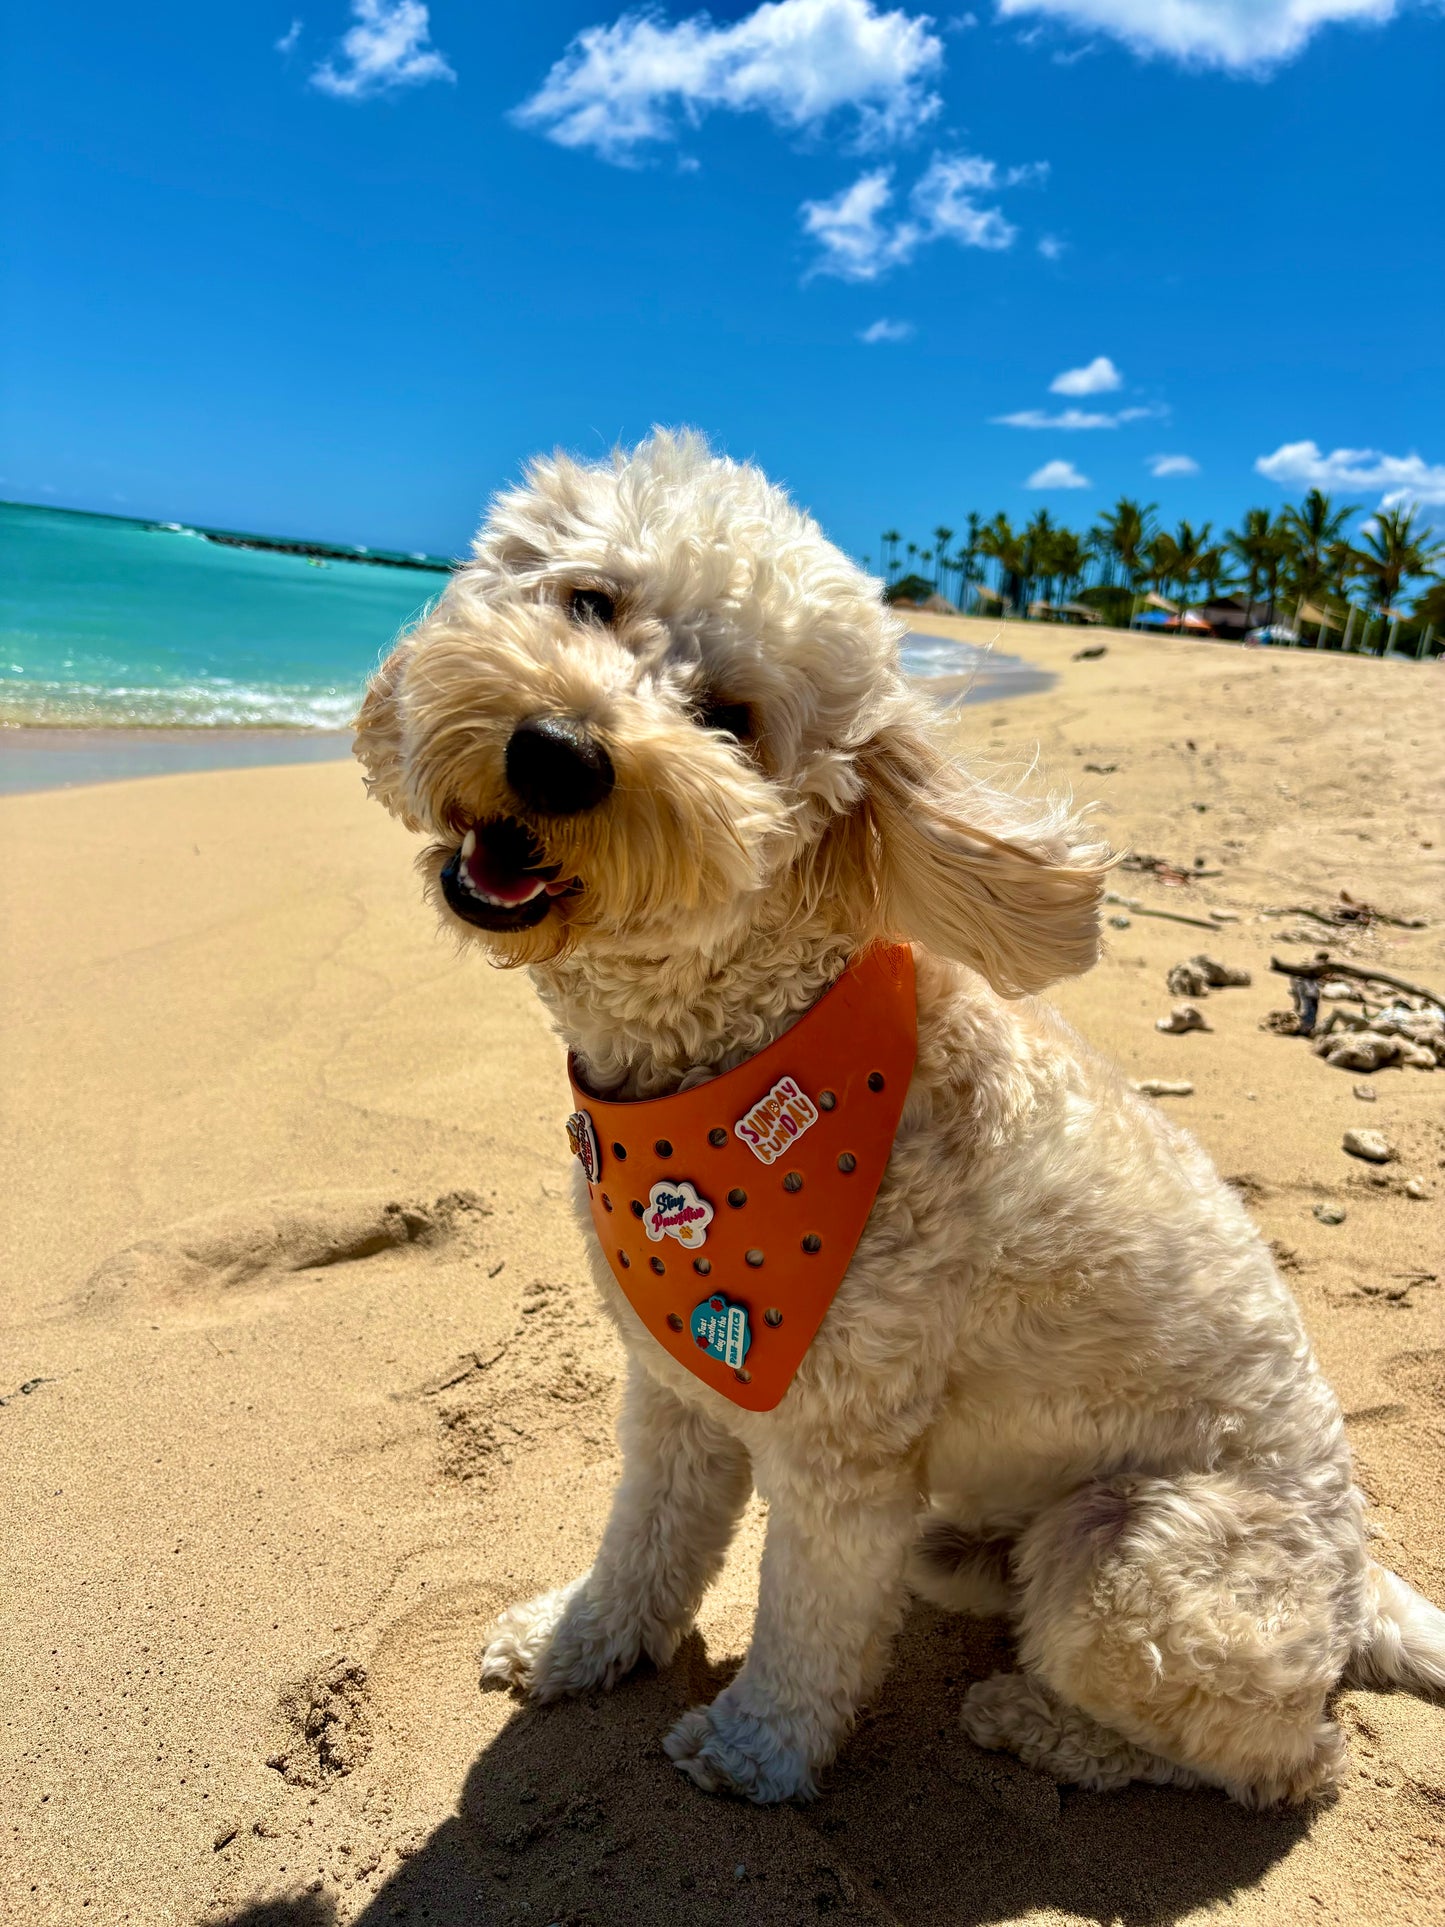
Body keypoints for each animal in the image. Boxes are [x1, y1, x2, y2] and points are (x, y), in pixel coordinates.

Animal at [354, 433, 1445, 1803]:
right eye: (589, 601)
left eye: (731, 720)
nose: (557, 750)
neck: (746, 1071)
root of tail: (1356, 1587)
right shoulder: (675, 1388)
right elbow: (645, 1540)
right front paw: (578, 1640)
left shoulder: (839, 1446)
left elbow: (811, 1620)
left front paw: (755, 1750)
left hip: (1138, 1562)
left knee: (1277, 1757)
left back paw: (1039, 1723)